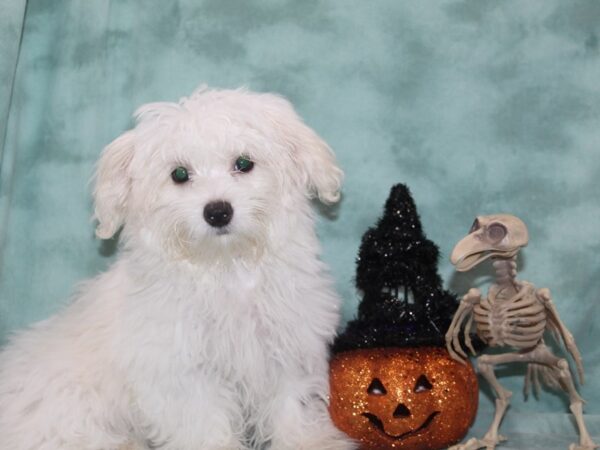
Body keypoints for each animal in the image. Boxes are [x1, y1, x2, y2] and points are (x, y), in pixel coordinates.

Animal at [0, 87, 356, 450]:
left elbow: (292, 409)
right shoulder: (183, 375)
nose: (218, 211)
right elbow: (204, 425)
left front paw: (311, 442)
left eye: (244, 164)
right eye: (180, 174)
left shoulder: (287, 351)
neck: (225, 268)